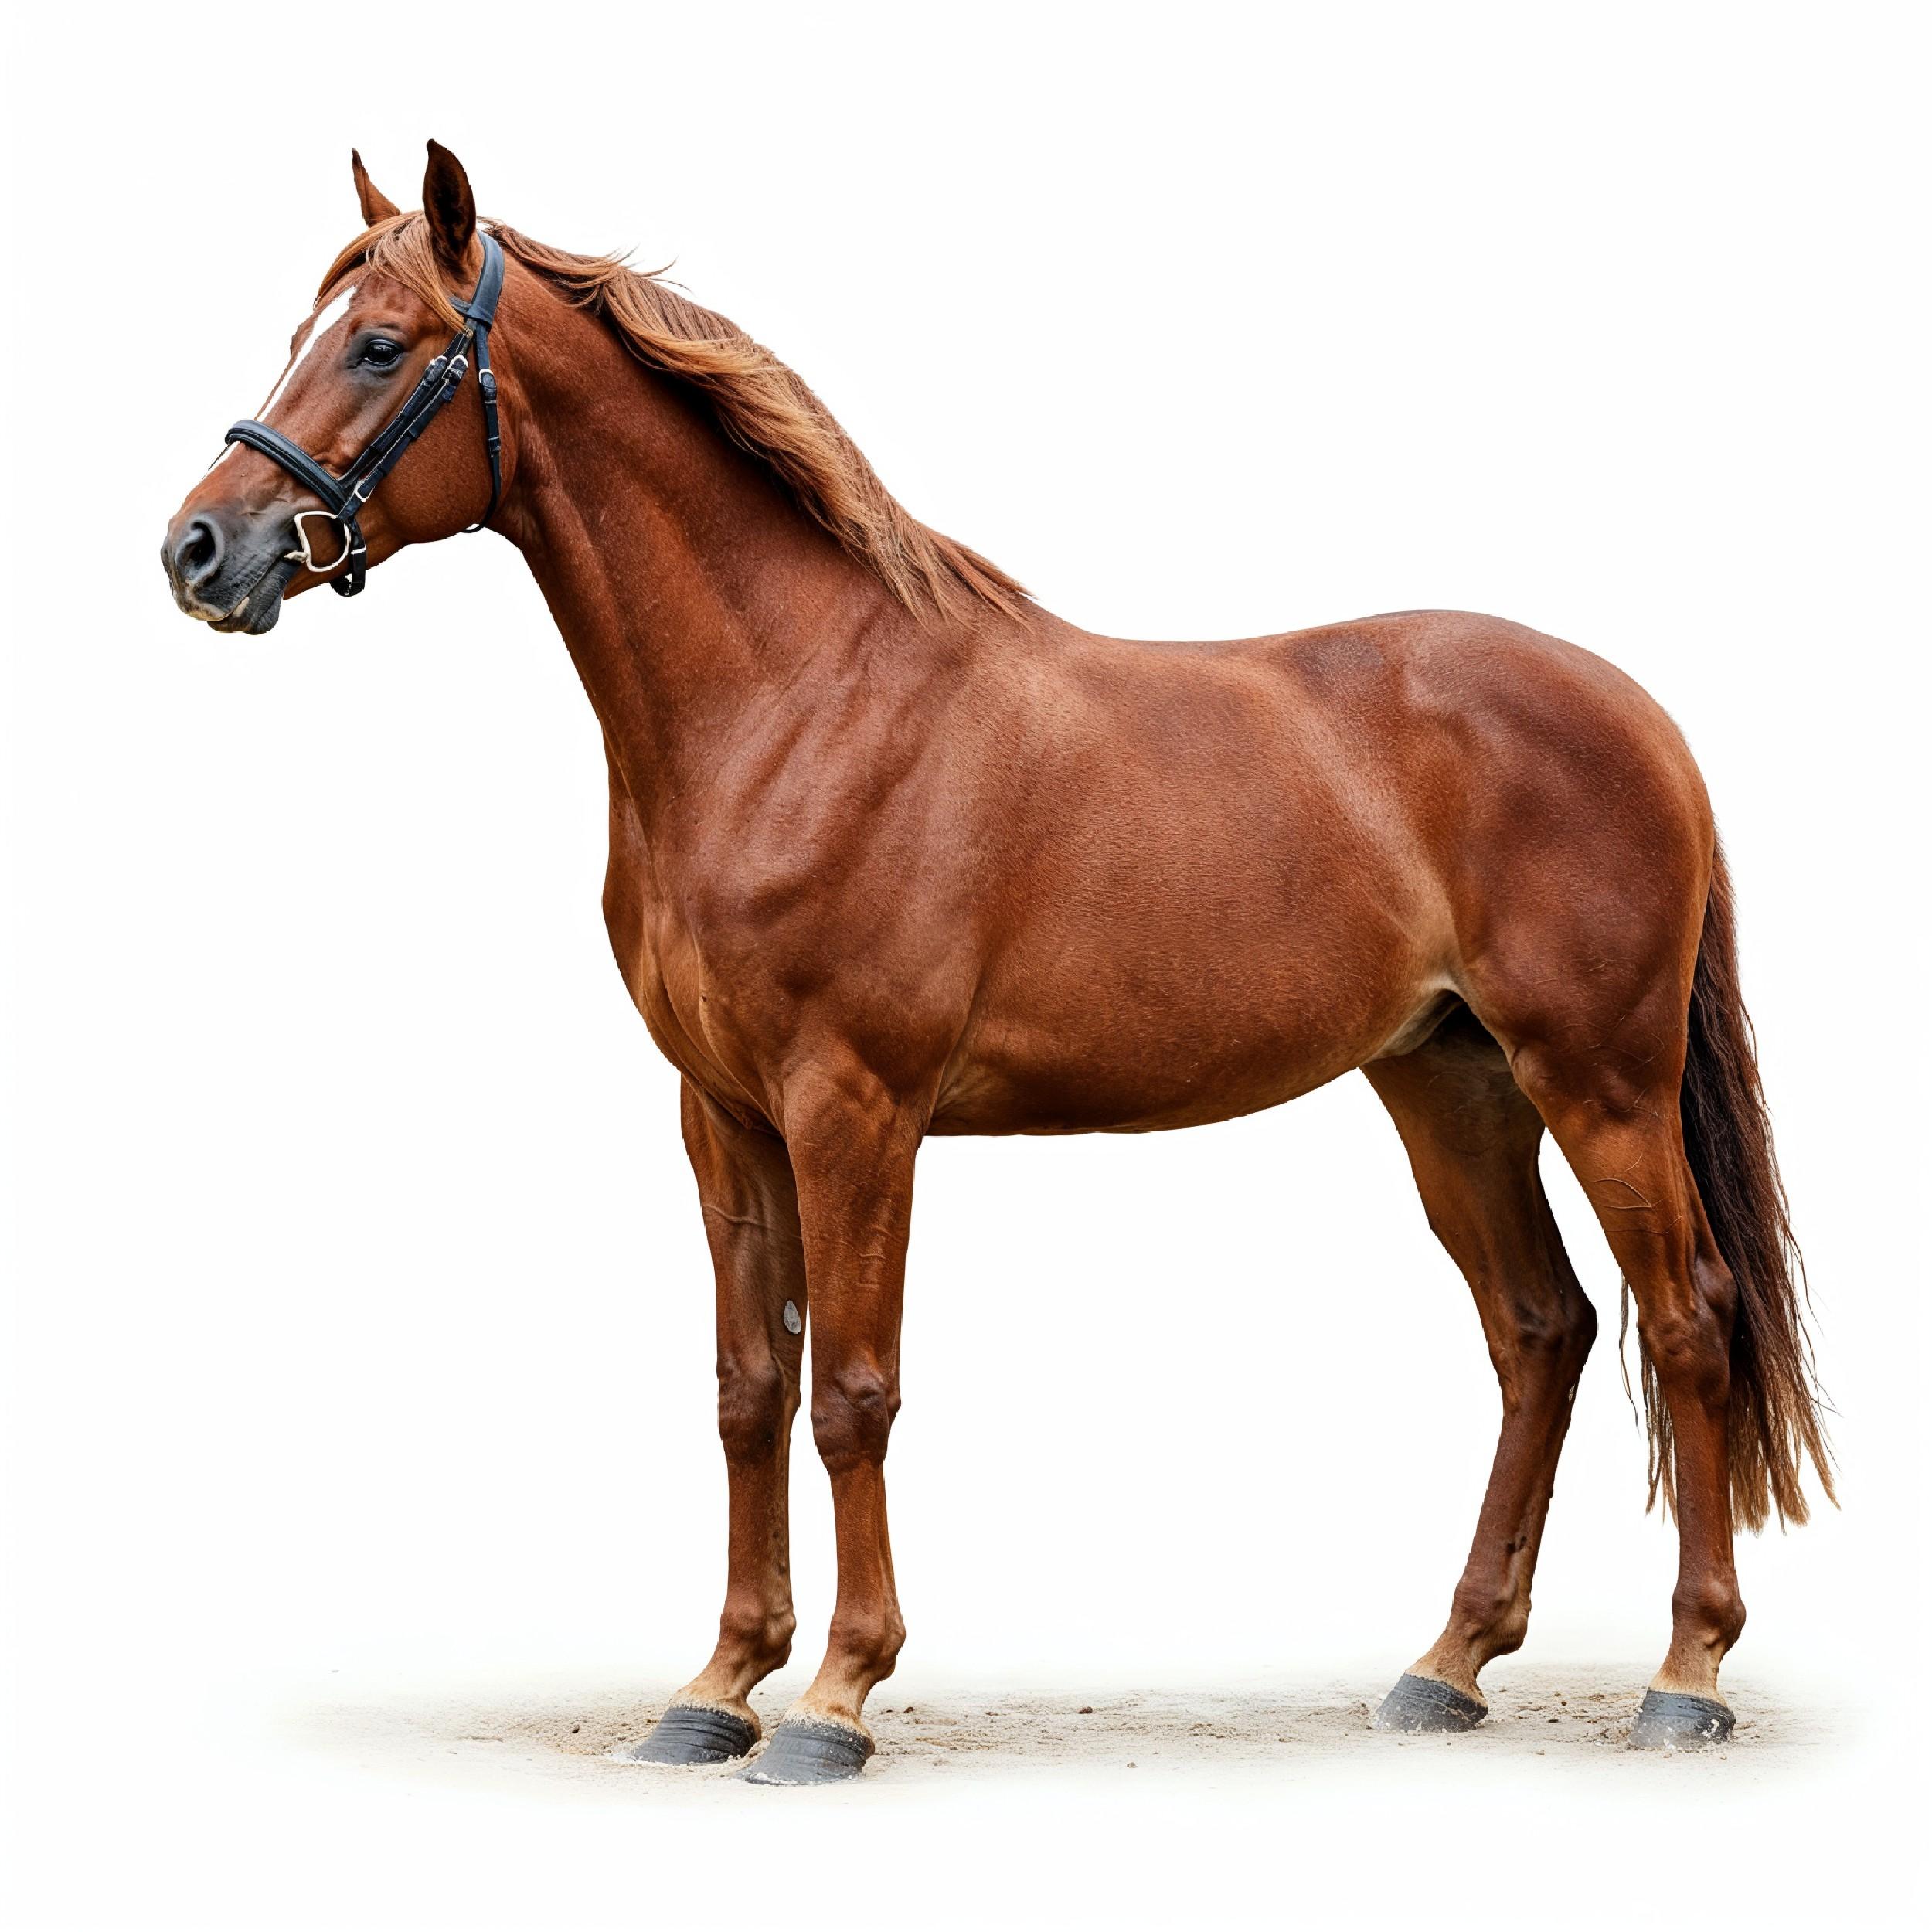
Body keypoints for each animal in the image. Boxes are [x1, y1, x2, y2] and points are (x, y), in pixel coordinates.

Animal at [161, 142, 1832, 1784]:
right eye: (306, 332)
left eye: (381, 346)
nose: (198, 547)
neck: (790, 704)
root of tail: (1640, 718)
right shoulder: (722, 1112)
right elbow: (747, 1391)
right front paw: (717, 1687)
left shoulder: (854, 1109)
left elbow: (851, 1393)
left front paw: (834, 1699)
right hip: (1449, 1083)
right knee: (1541, 1330)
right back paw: (1447, 1666)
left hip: (1598, 1081)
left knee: (1686, 1318)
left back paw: (1684, 1677)